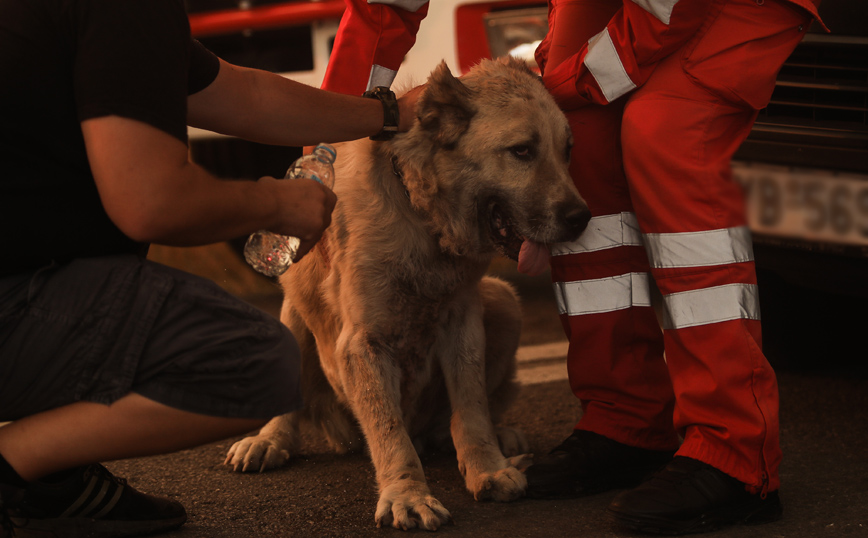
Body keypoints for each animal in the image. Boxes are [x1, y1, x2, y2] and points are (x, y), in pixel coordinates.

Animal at [224, 57, 588, 528]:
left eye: (568, 150)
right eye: (522, 151)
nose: (582, 218)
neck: (422, 217)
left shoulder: (463, 321)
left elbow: (471, 408)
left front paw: (487, 467)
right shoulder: (362, 344)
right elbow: (390, 431)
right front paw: (407, 494)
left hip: (503, 301)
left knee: (456, 419)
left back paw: (498, 437)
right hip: (292, 312)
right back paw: (269, 439)